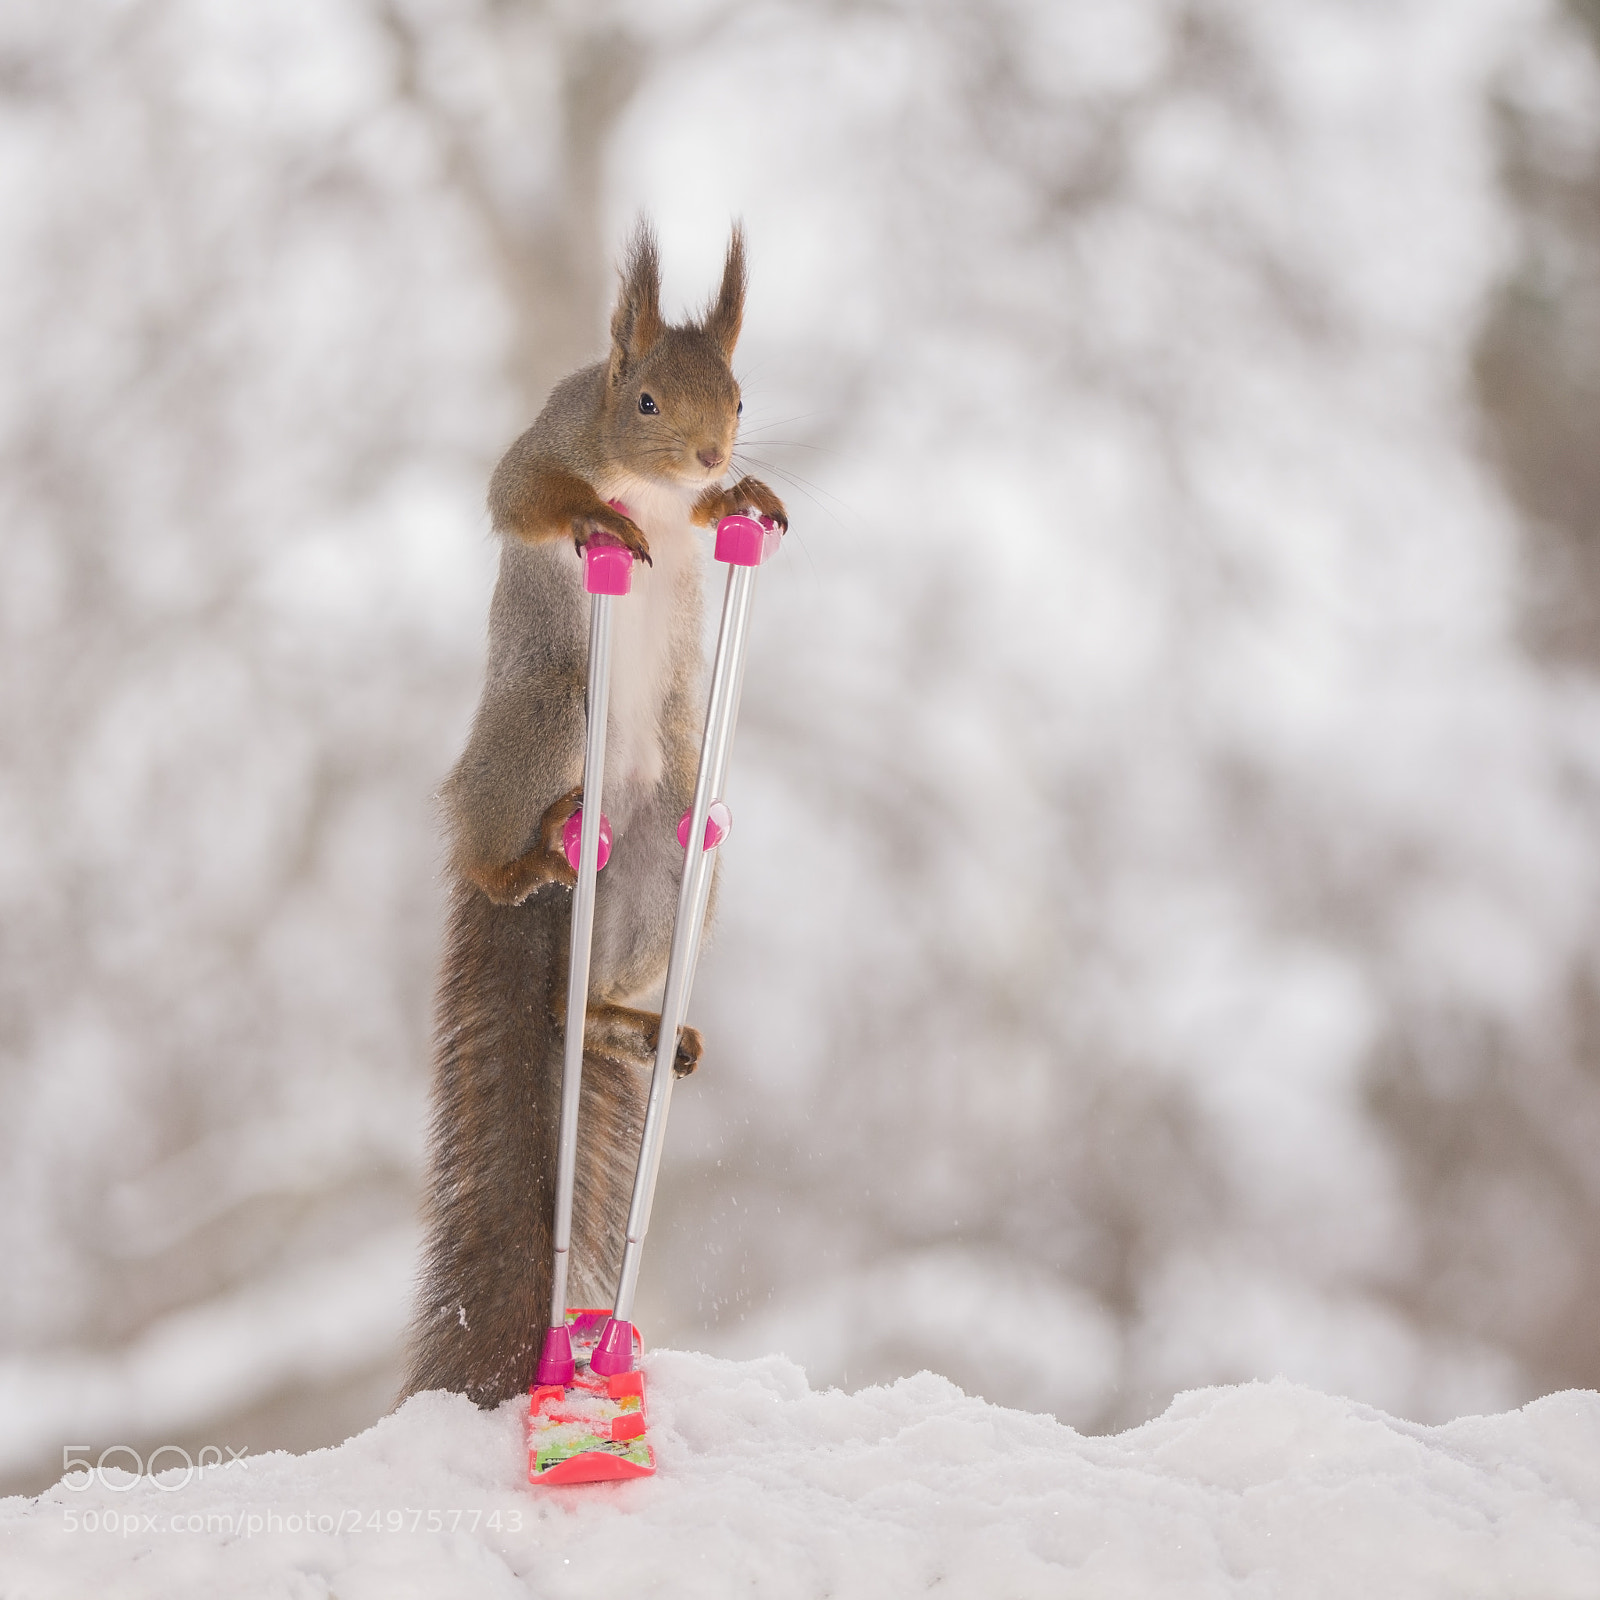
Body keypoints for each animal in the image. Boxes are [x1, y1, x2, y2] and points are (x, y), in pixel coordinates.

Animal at [399, 222, 787, 1408]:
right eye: (646, 399)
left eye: (740, 398)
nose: (709, 456)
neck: (647, 482)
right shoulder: (550, 439)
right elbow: (520, 493)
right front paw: (593, 519)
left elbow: (709, 524)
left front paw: (747, 499)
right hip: (548, 721)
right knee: (494, 845)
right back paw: (517, 865)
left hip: (667, 865)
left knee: (588, 1006)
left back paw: (633, 1024)